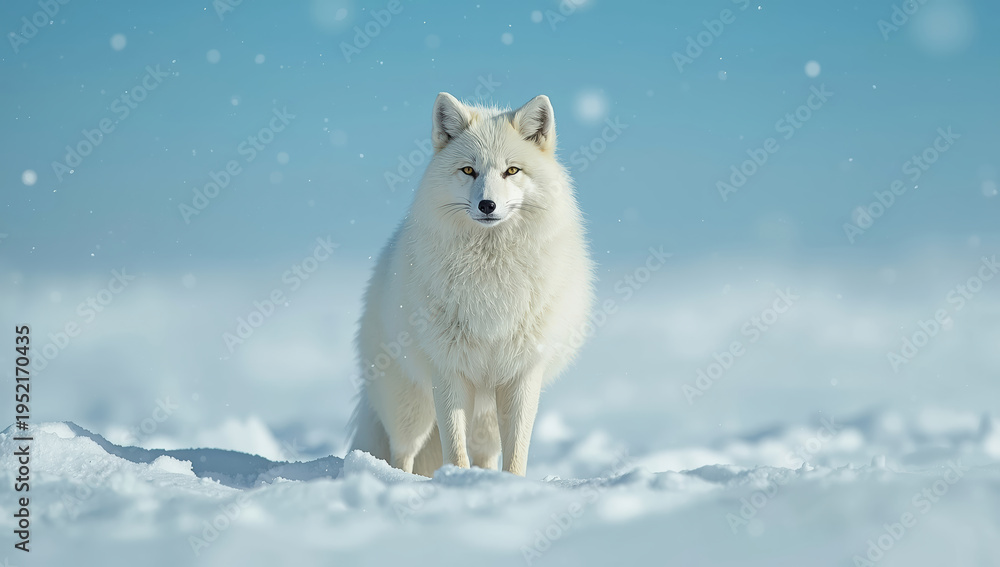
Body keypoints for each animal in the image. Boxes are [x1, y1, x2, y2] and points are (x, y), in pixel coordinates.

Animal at [349, 92, 594, 477]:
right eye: (468, 170)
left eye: (512, 170)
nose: (487, 205)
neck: (492, 279)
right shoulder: (448, 369)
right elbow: (454, 445)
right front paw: (455, 480)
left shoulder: (522, 373)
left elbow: (516, 451)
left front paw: (510, 484)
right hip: (411, 407)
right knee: (403, 452)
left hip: (486, 418)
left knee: (486, 454)